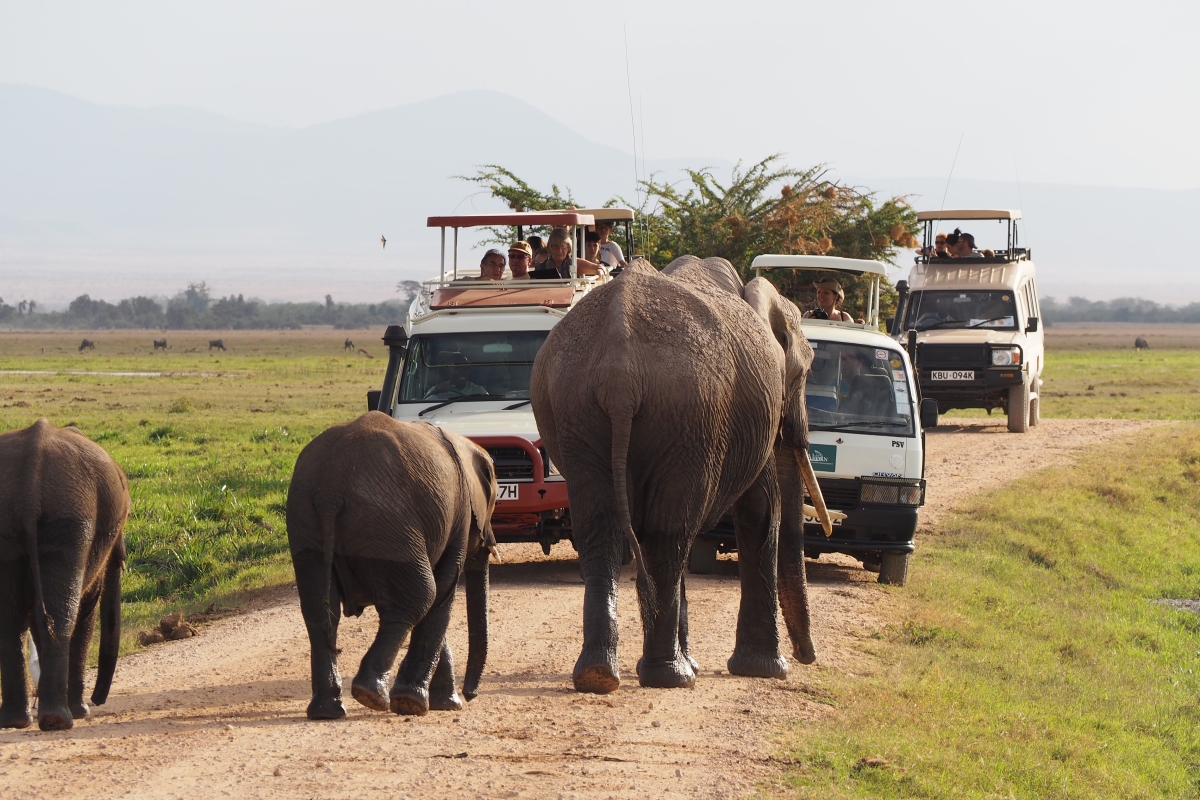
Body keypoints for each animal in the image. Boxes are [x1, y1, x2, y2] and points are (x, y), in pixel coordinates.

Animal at [0, 419, 129, 734]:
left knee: (13, 618)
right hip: (71, 520)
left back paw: (18, 721)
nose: (98, 700)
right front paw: (82, 711)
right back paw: (59, 720)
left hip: (15, 520)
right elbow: (87, 606)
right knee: (61, 615)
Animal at [285, 412, 496, 719]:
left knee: (319, 611)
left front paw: (444, 704)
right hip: (387, 525)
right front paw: (420, 704)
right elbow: (442, 594)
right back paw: (373, 696)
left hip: (306, 519)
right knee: (422, 595)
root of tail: (330, 488)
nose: (470, 695)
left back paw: (327, 711)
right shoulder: (458, 518)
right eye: (494, 503)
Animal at [535, 256, 835, 695]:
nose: (807, 657)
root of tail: (620, 372)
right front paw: (767, 669)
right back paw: (670, 677)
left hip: (579, 410)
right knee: (669, 535)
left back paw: (600, 676)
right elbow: (761, 510)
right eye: (804, 374)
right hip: (688, 415)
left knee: (602, 530)